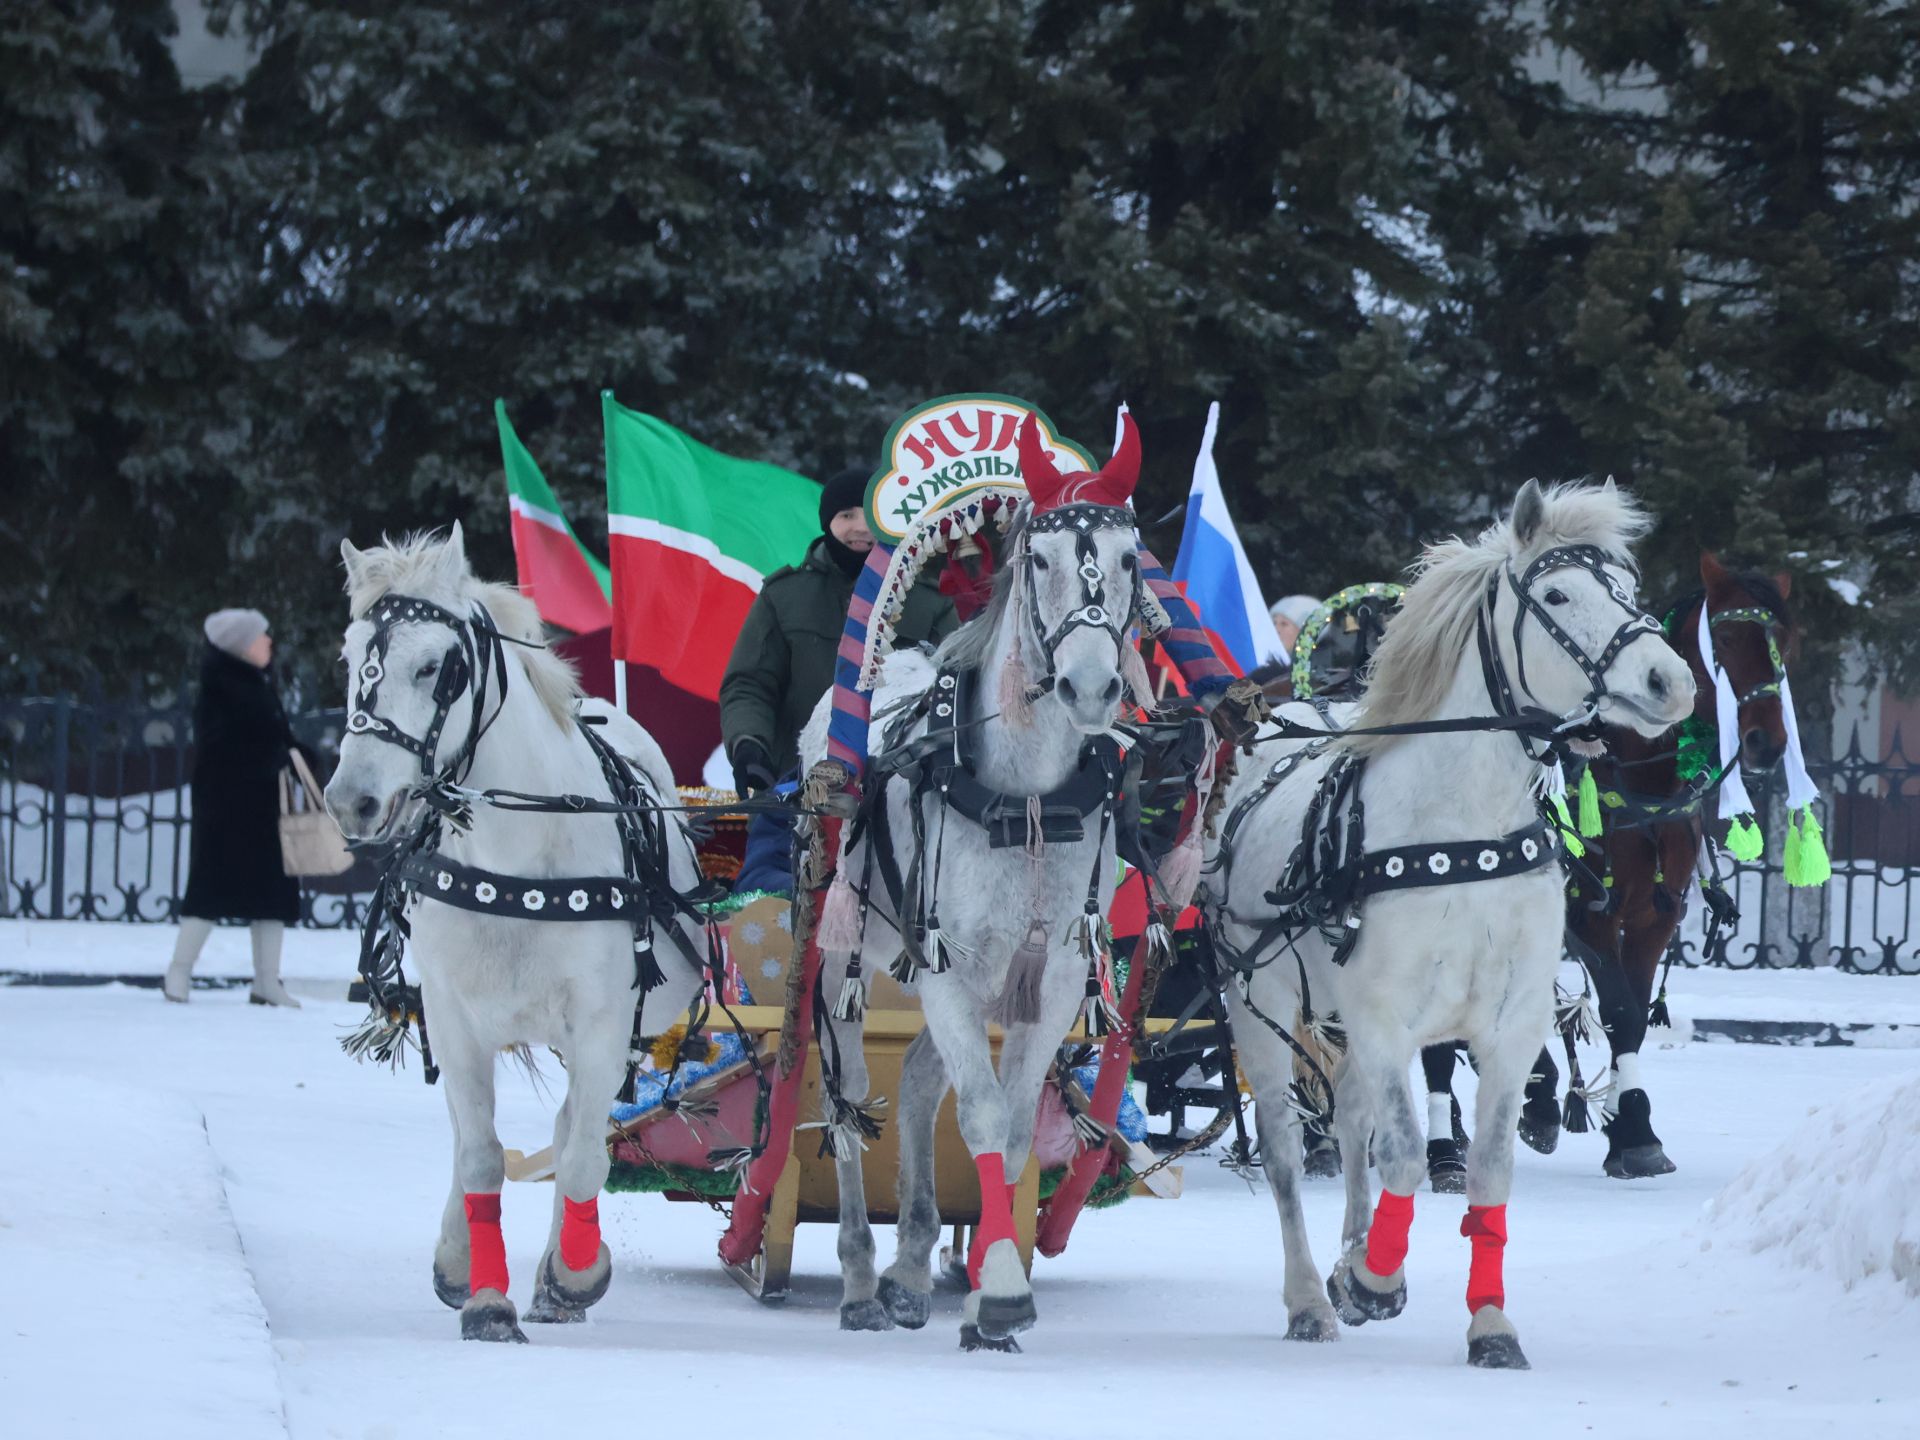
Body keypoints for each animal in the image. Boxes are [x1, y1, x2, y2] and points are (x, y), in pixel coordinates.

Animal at [326, 526, 710, 1344]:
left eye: (436, 666)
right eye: (350, 658)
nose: (351, 801)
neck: (519, 855)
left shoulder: (603, 1025)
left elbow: (583, 1158)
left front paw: (574, 1274)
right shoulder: (454, 1019)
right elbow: (479, 1156)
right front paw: (483, 1295)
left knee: (573, 1133)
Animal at [798, 485, 1152, 1351]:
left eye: (1129, 558)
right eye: (1039, 559)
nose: (1090, 687)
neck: (1025, 805)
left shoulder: (1051, 983)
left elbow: (1016, 1128)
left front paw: (988, 1281)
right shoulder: (948, 970)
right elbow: (984, 1116)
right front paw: (1000, 1294)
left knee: (922, 1080)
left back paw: (909, 1265)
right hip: (844, 960)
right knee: (850, 1091)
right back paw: (860, 1279)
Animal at [1205, 480, 1689, 1367]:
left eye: (1629, 591)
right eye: (1558, 596)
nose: (1669, 680)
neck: (1464, 828)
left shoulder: (1511, 1023)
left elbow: (1488, 1170)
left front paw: (1489, 1322)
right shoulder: (1386, 1018)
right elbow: (1400, 1156)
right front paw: (1375, 1279)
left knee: (1350, 1119)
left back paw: (1349, 1249)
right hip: (1256, 1002)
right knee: (1288, 1147)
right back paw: (1311, 1296)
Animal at [1428, 552, 1797, 1182]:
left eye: (1787, 641)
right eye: (1725, 637)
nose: (1766, 743)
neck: (1638, 781)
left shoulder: (1655, 918)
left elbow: (1634, 1018)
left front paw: (1628, 1127)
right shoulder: (1589, 916)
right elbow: (1619, 1008)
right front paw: (1629, 1126)